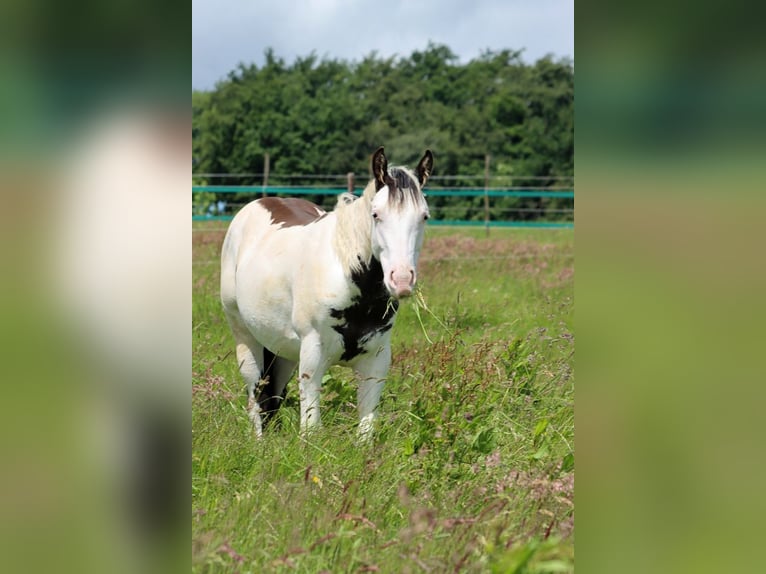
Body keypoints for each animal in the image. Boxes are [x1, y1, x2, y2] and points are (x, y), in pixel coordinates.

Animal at [220, 147, 433, 439]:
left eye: (424, 216)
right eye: (376, 214)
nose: (401, 280)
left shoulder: (376, 362)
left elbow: (366, 430)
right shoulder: (313, 358)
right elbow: (311, 429)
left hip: (283, 351)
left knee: (272, 395)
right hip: (245, 338)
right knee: (256, 396)